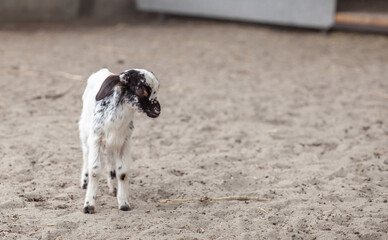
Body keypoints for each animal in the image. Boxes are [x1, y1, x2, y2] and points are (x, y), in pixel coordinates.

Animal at [78, 67, 160, 214]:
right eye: (140, 89)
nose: (157, 110)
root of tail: (102, 71)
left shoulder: (125, 143)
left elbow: (122, 173)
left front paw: (123, 203)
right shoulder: (96, 140)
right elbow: (95, 171)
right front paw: (89, 206)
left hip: (112, 144)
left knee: (110, 161)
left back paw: (113, 188)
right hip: (84, 131)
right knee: (86, 155)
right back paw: (85, 181)